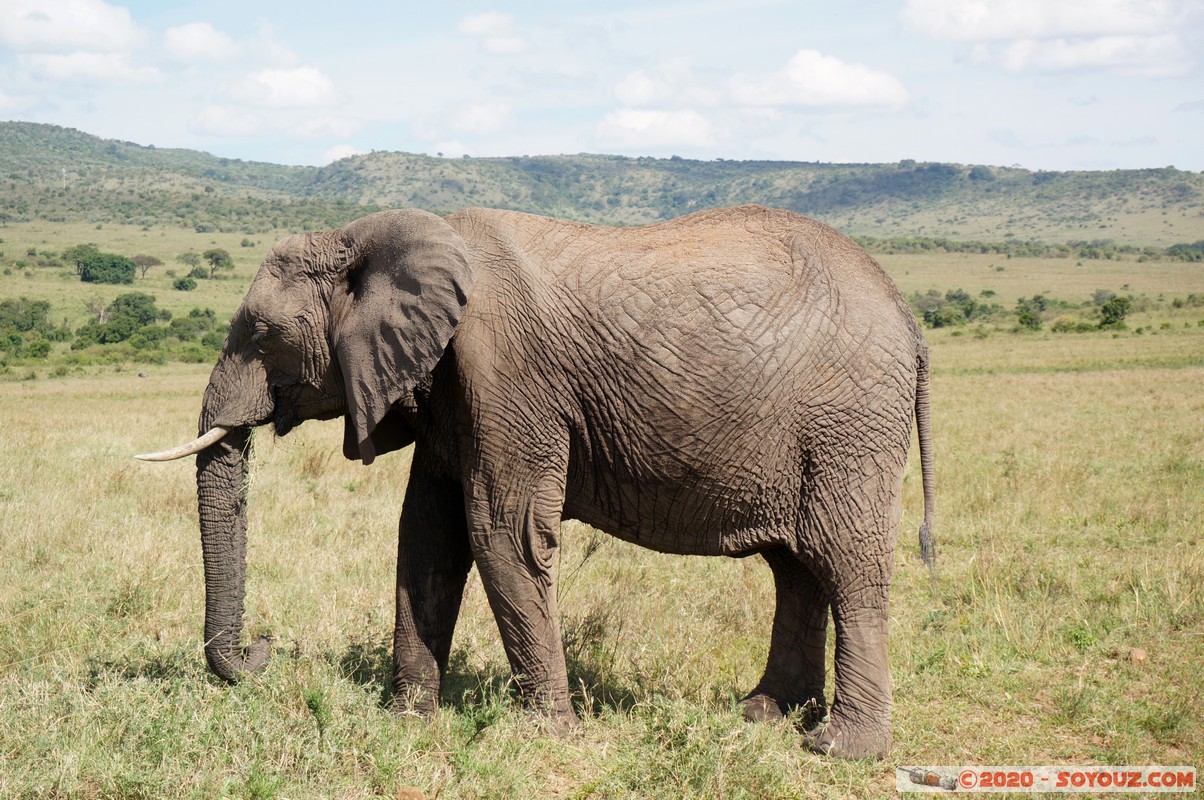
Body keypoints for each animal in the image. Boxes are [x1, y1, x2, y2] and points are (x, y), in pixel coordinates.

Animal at [138, 203, 929, 761]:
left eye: (261, 334)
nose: (264, 652)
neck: (375, 233)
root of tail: (909, 315)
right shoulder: (452, 393)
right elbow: (427, 537)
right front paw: (408, 721)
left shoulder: (506, 375)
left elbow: (502, 533)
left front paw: (546, 735)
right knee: (796, 568)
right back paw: (763, 714)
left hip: (849, 425)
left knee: (846, 566)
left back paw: (839, 749)